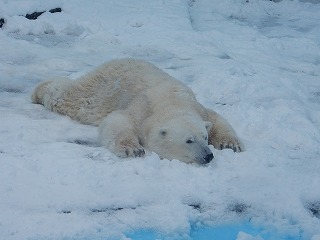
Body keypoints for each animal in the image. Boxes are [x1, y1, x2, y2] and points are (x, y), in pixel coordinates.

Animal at [31, 58, 242, 163]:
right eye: (189, 140)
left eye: (204, 137)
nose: (208, 155)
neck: (172, 103)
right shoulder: (141, 109)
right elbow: (118, 121)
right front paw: (133, 149)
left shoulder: (199, 108)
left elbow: (216, 118)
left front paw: (230, 144)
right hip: (102, 88)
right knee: (71, 98)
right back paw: (39, 92)